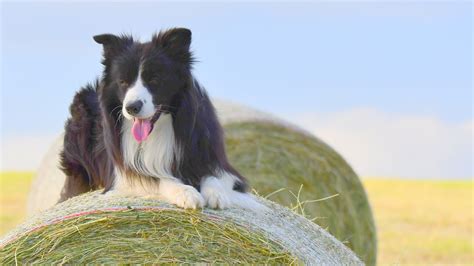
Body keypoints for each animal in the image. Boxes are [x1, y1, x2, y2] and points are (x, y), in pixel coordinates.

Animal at [59, 27, 262, 210]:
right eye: (123, 81)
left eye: (154, 79)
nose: (131, 107)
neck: (162, 128)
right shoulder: (123, 177)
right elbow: (159, 178)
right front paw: (186, 193)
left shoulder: (216, 162)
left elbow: (213, 176)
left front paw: (216, 194)